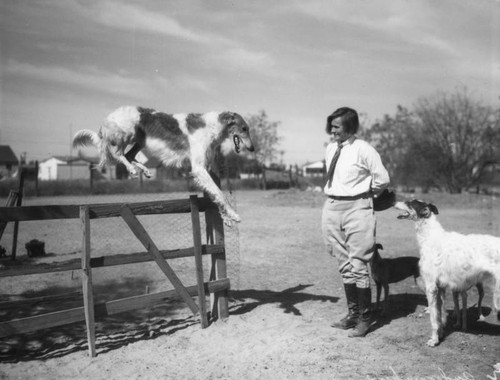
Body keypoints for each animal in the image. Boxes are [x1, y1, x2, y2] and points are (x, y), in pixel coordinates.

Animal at [72, 105, 256, 224]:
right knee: (118, 154)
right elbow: (219, 193)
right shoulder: (198, 168)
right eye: (244, 128)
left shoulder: (205, 169)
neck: (210, 127)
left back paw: (145, 170)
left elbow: (215, 194)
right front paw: (233, 215)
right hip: (128, 132)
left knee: (129, 155)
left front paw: (226, 217)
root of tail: (107, 118)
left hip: (140, 140)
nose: (252, 148)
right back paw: (132, 170)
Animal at [394, 200, 500, 346]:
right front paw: (440, 335)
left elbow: (434, 319)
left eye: (410, 203)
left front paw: (434, 340)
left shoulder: (431, 288)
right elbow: (440, 317)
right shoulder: (441, 288)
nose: (394, 202)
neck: (431, 237)